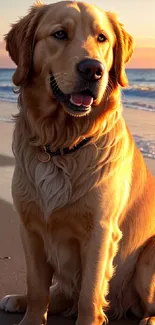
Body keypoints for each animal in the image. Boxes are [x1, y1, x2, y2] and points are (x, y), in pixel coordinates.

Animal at [0, 0, 155, 324]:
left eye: (102, 38)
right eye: (60, 34)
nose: (93, 69)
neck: (62, 144)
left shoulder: (100, 230)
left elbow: (89, 295)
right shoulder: (29, 227)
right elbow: (37, 288)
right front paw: (31, 315)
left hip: (149, 259)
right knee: (58, 293)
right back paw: (17, 299)